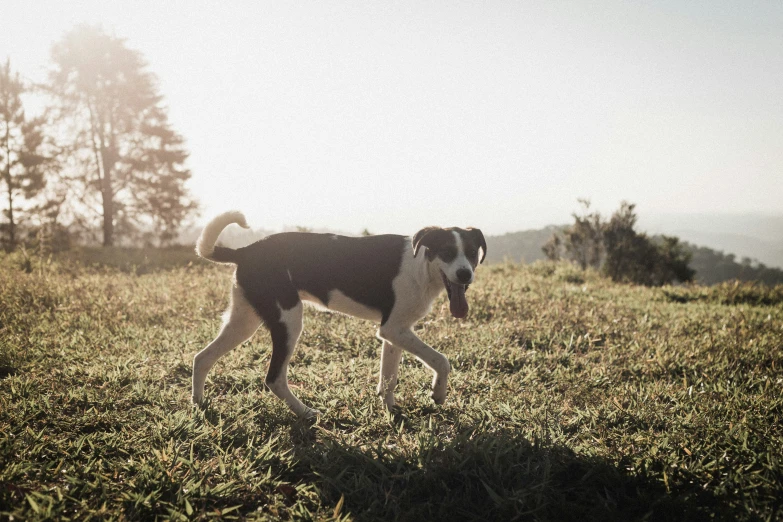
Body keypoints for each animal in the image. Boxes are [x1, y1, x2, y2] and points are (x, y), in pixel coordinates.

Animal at [191, 209, 484, 416]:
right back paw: (306, 413)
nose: (464, 275)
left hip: (244, 322)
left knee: (202, 358)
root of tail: (245, 251)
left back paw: (198, 405)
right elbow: (441, 361)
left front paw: (391, 413)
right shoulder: (392, 329)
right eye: (447, 252)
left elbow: (388, 379)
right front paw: (438, 394)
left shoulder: (395, 332)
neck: (421, 266)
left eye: (472, 252)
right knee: (274, 378)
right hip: (288, 322)